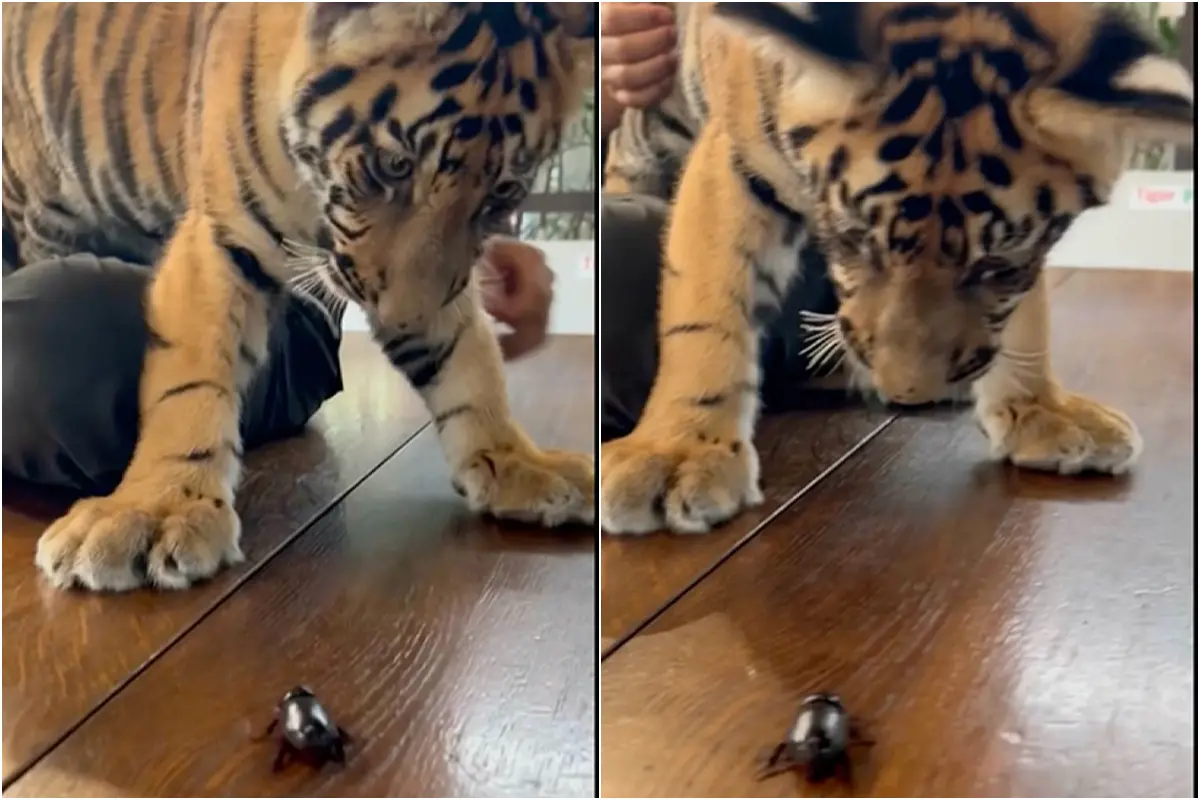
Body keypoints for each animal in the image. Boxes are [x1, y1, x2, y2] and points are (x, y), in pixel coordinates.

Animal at [2, 2, 598, 592]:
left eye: (502, 193)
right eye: (394, 165)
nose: (405, 319)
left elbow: (467, 358)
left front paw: (518, 462)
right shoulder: (221, 237)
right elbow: (189, 379)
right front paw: (155, 509)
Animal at [600, 2, 1195, 535]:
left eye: (996, 266)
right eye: (854, 238)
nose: (908, 395)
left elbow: (1026, 311)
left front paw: (1037, 409)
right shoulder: (737, 157)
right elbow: (706, 306)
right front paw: (676, 453)